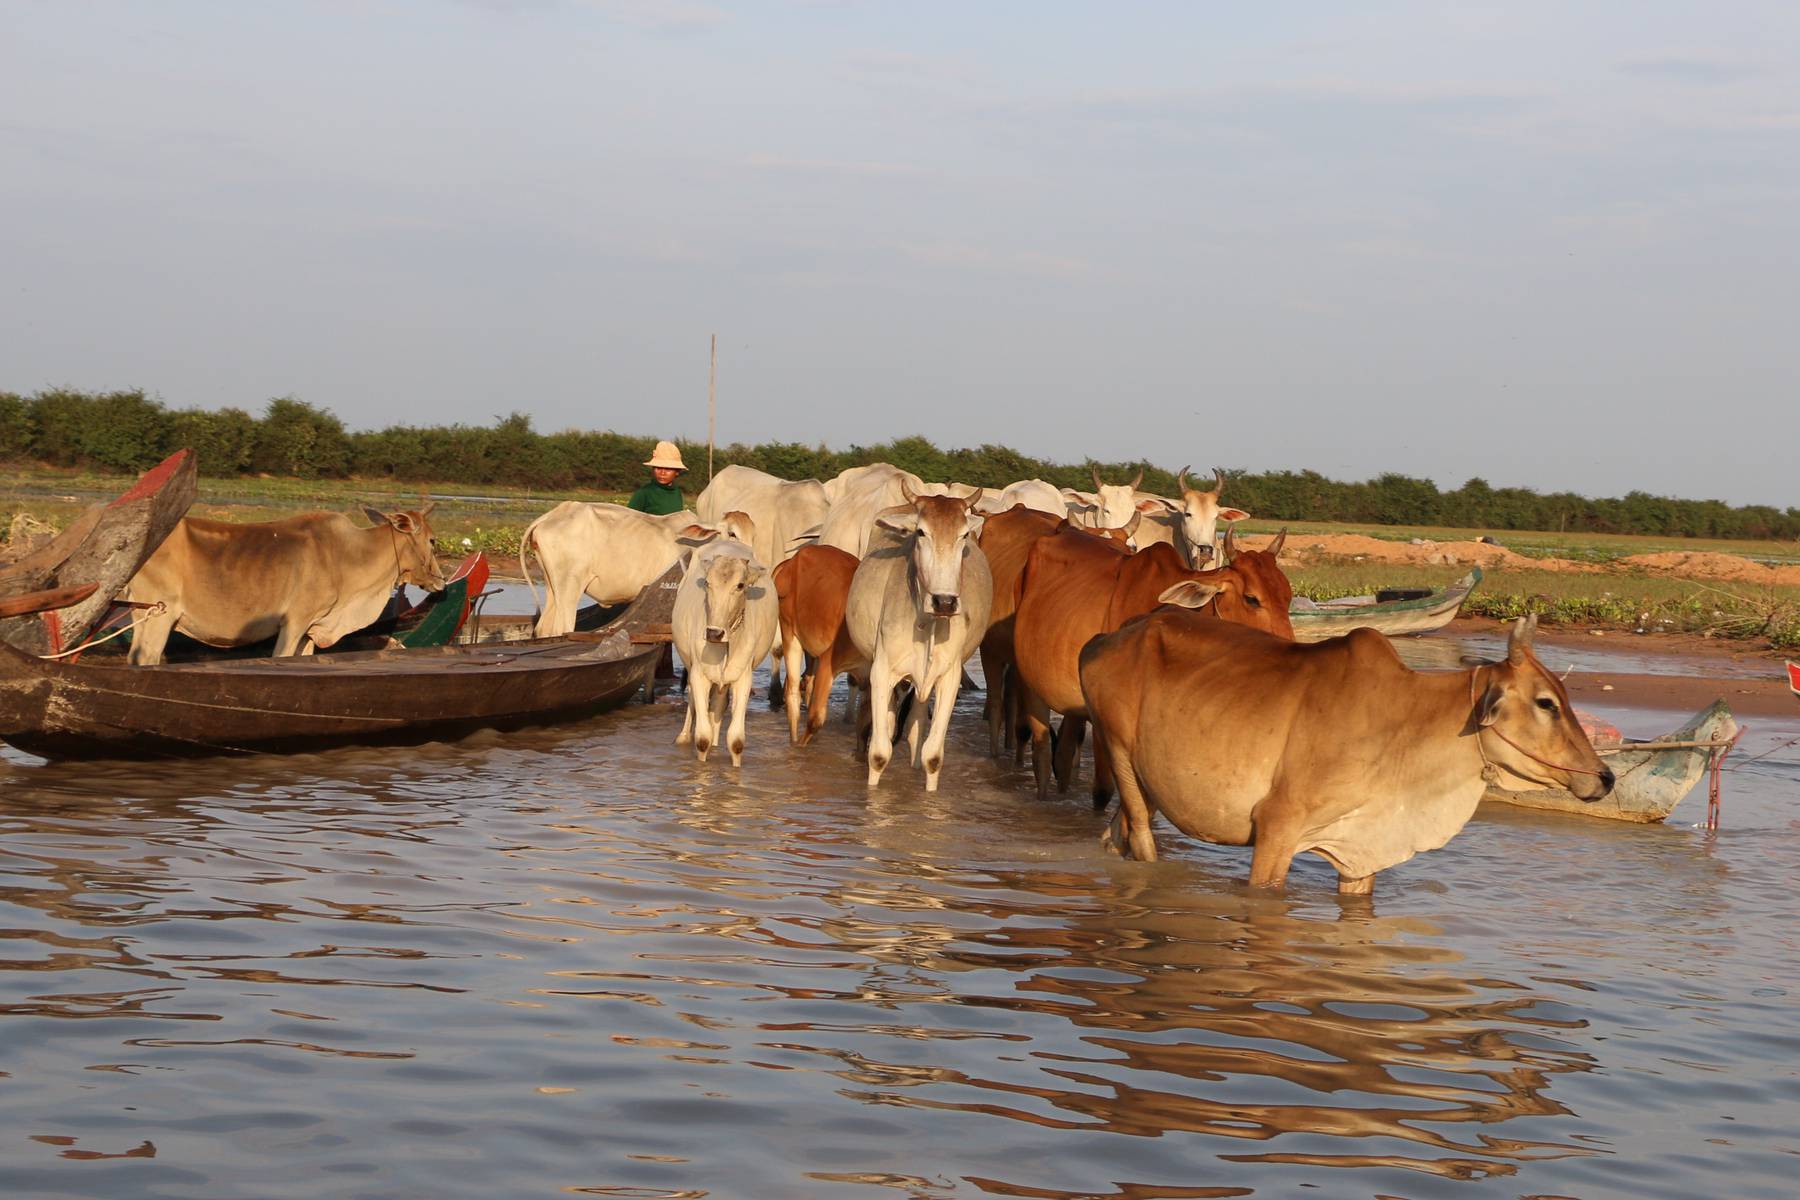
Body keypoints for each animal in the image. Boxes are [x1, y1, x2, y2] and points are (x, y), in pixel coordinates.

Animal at [522, 503, 752, 636]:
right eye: (732, 534)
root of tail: (551, 516)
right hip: (569, 586)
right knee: (562, 628)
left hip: (553, 587)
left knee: (544, 629)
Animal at [846, 482, 993, 791]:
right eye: (921, 532)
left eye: (964, 535)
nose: (945, 602)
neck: (928, 621)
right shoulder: (881, 672)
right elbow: (879, 753)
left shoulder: (949, 678)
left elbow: (932, 756)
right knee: (889, 726)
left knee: (915, 729)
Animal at [1015, 521, 1296, 798]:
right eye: (1252, 599)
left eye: (1288, 596)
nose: (1290, 646)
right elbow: (1105, 790)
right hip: (1028, 681)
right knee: (1042, 752)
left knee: (1064, 755)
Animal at [1072, 611, 1612, 892]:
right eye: (1546, 703)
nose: (1605, 778)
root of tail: (1103, 639)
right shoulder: (1277, 827)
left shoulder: (1362, 850)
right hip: (1119, 753)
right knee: (1142, 839)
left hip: (1147, 780)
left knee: (1116, 834)